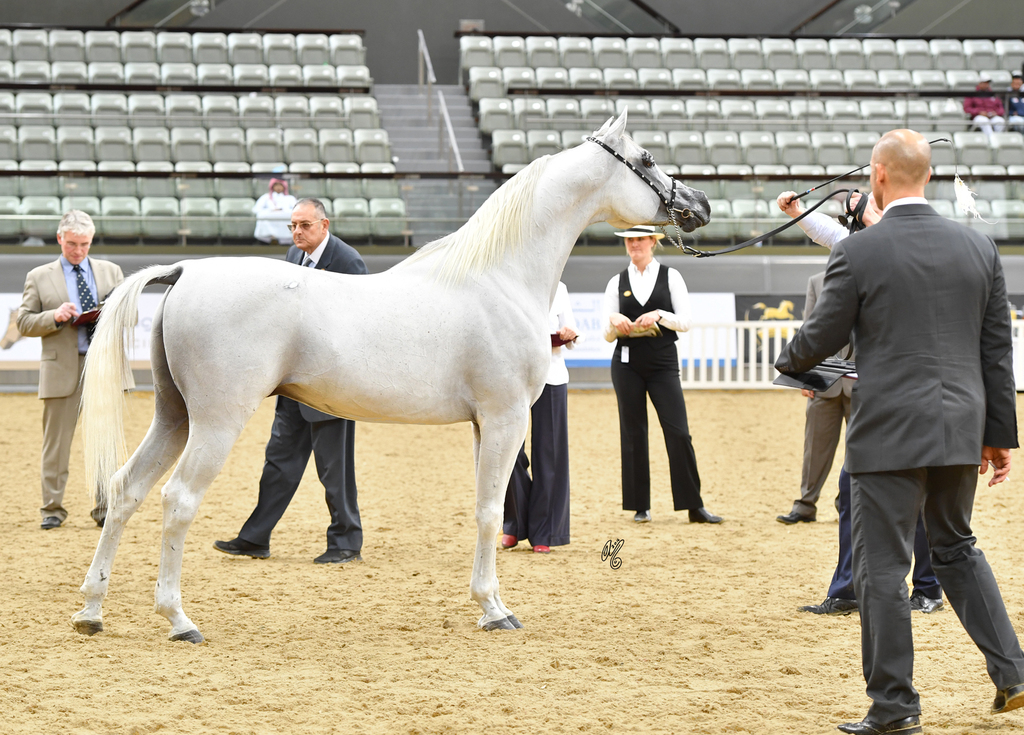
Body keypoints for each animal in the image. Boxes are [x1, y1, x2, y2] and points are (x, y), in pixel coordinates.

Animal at [71, 110, 710, 642]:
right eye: (648, 157)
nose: (699, 203)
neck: (500, 277)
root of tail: (184, 271)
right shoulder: (505, 418)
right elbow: (488, 510)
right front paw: (495, 610)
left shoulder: (485, 423)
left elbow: (491, 507)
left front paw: (489, 603)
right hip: (216, 422)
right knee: (177, 500)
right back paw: (179, 619)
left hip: (173, 415)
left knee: (126, 489)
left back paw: (91, 611)